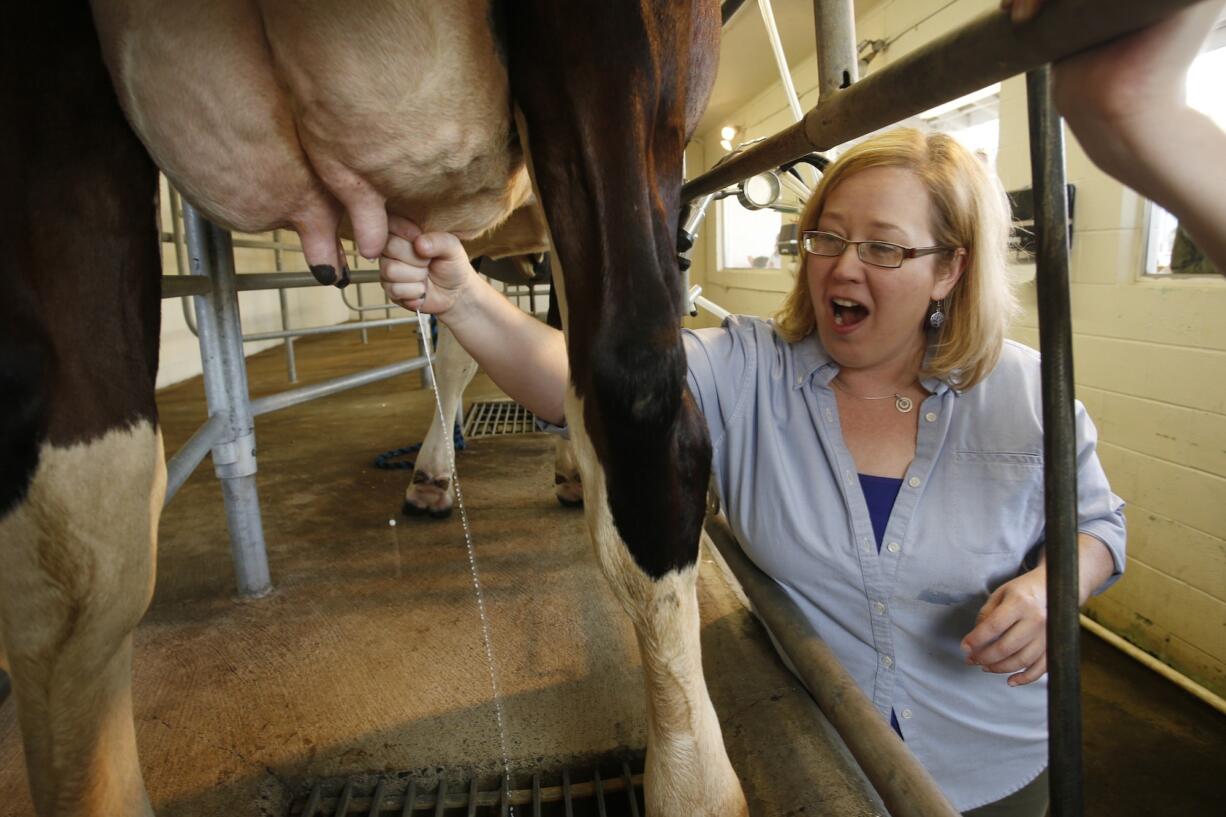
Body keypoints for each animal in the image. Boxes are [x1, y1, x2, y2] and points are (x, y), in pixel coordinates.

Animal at [0, 1, 740, 814]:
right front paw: (547, 466)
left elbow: (476, 345)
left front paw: (447, 473)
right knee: (637, 387)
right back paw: (696, 784)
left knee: (76, 548)